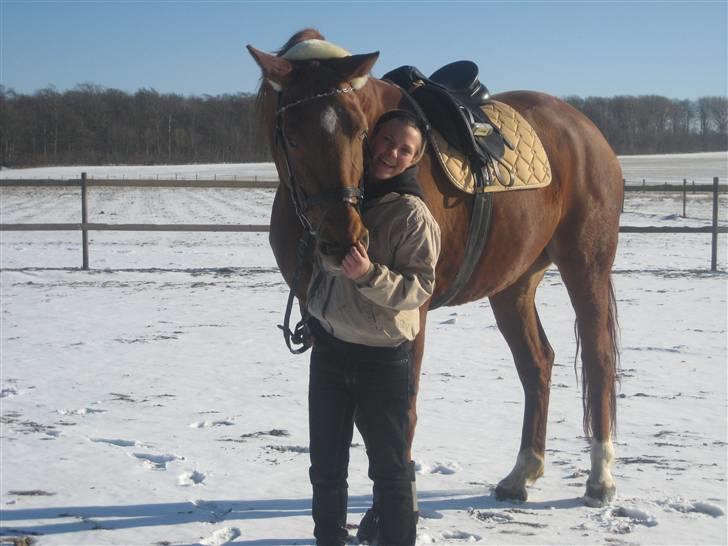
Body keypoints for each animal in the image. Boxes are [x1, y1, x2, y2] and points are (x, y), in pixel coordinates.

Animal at [247, 28, 624, 506]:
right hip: (514, 284)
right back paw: (522, 472)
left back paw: (600, 478)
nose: (344, 239)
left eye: (360, 131)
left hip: (586, 266)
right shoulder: (320, 318)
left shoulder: (413, 314)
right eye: (292, 138)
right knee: (537, 362)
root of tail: (584, 128)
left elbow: (400, 415)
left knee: (598, 360)